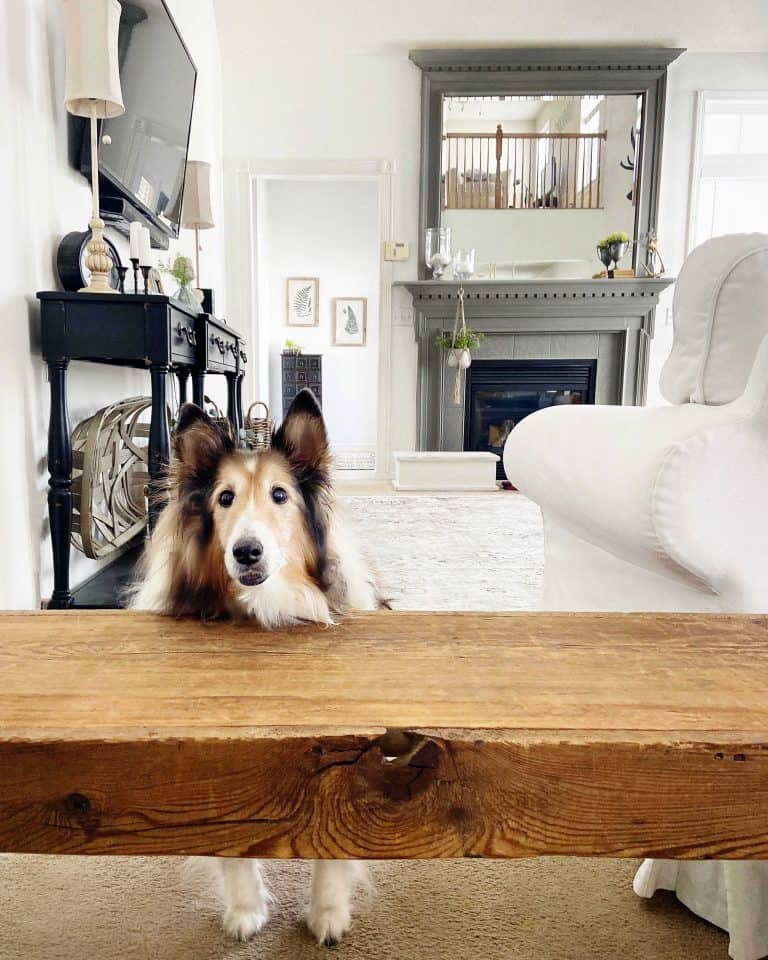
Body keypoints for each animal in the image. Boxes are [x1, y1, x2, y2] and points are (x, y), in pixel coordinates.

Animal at [133, 390, 384, 944]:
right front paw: (246, 912)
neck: (267, 605)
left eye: (279, 495)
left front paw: (328, 915)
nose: (246, 552)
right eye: (225, 498)